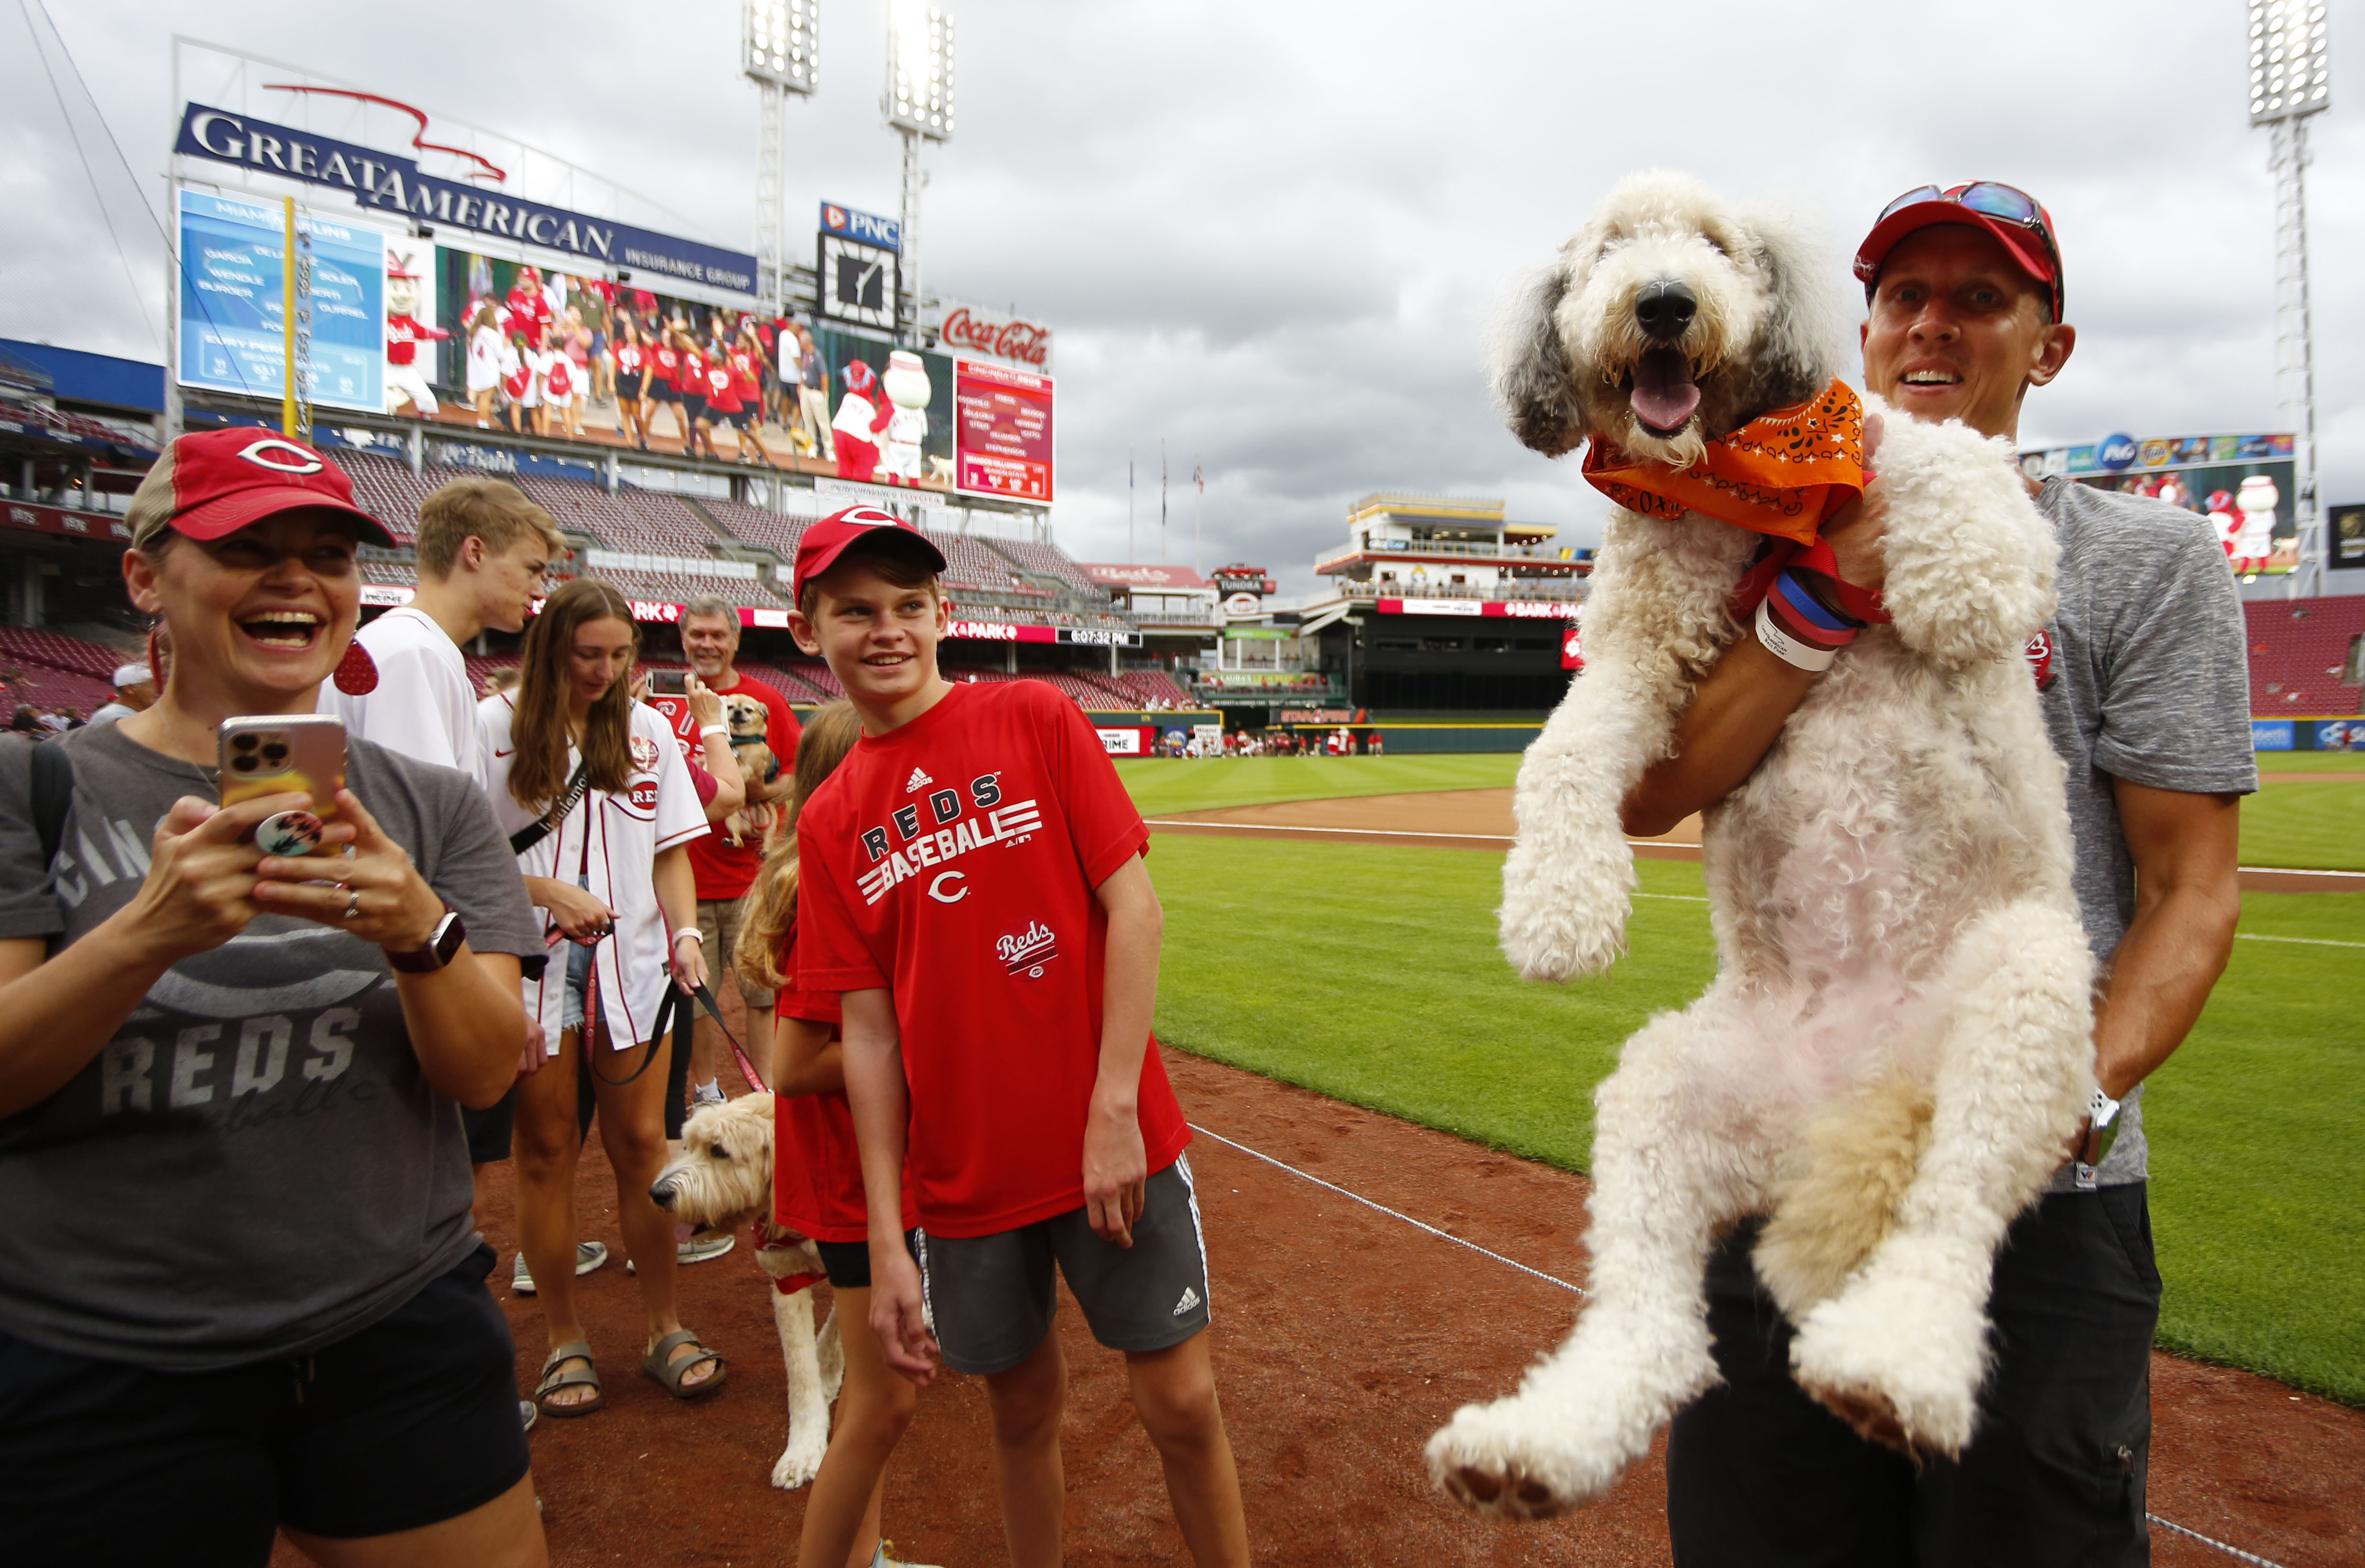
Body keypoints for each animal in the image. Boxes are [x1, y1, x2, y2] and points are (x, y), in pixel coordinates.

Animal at [657, 1097, 851, 1494]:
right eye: (687, 1145)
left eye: (719, 1151)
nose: (659, 1193)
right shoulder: (787, 1279)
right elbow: (802, 1373)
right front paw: (803, 1449)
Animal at [1419, 171, 2090, 1523]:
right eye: (1609, 251)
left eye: (1719, 245)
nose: (1665, 302)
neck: (1741, 483)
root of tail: (1841, 1110)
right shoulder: (1638, 650)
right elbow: (1560, 754)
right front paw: (1560, 905)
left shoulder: (1903, 451)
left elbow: (1959, 483)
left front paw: (1946, 583)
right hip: (1664, 1090)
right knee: (1655, 1328)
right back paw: (1535, 1444)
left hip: (2027, 984)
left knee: (1951, 1210)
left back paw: (1896, 1362)